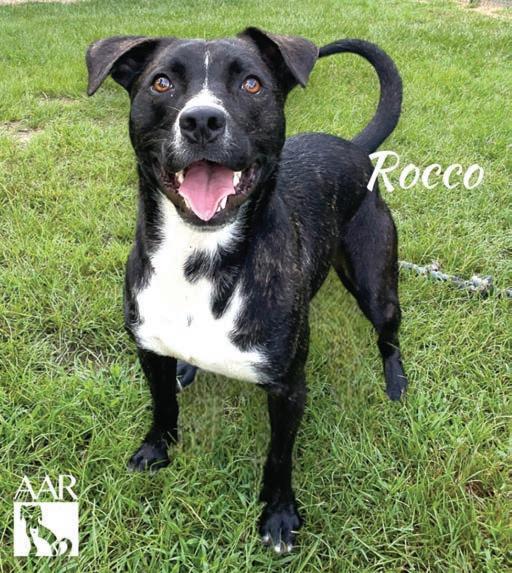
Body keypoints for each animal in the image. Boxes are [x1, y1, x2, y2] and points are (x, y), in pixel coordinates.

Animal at [86, 28, 407, 553]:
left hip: (376, 283)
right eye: (161, 82)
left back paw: (396, 380)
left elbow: (279, 456)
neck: (199, 256)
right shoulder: (148, 348)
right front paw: (156, 448)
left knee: (388, 332)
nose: (201, 120)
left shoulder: (288, 387)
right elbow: (162, 405)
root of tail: (354, 148)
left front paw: (278, 515)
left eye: (252, 84)